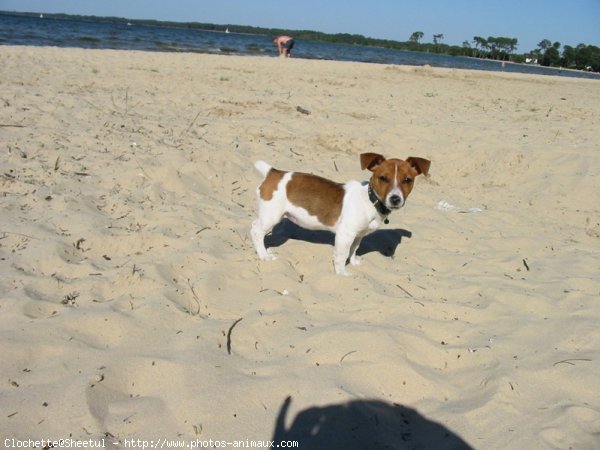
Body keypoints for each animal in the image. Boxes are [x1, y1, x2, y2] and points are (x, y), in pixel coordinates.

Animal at [251, 153, 428, 274]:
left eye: (407, 180)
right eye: (383, 178)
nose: (395, 199)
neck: (370, 200)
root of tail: (273, 172)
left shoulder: (358, 235)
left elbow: (354, 249)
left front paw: (354, 262)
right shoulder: (345, 234)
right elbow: (341, 255)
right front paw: (342, 274)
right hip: (271, 216)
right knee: (256, 231)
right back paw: (264, 256)